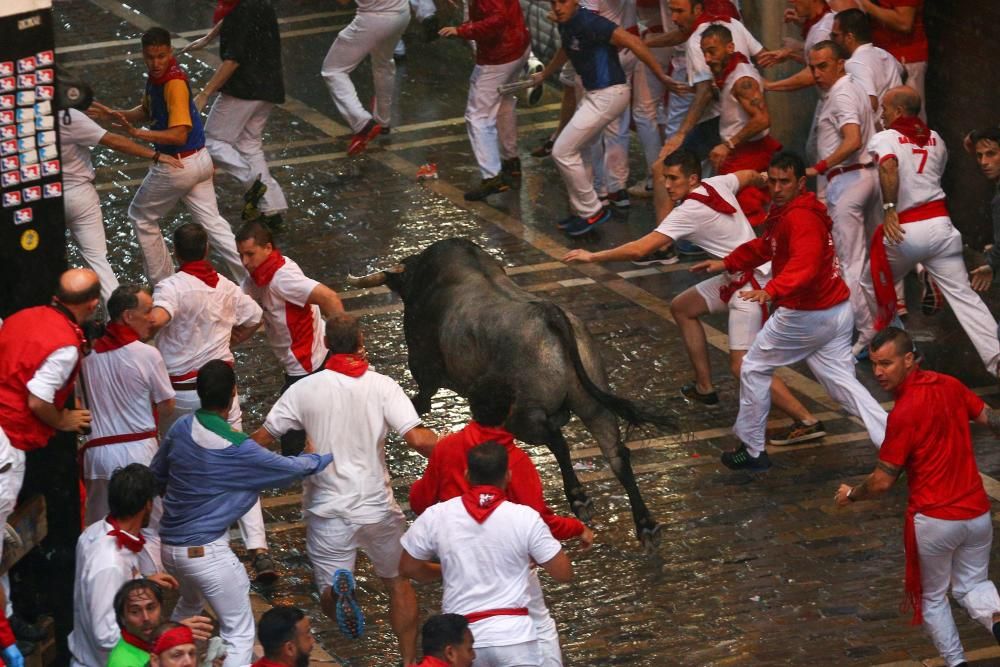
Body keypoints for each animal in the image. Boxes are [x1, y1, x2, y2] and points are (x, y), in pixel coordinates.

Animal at [354, 240, 680, 548]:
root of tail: (550, 315)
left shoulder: (425, 378)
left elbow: (417, 403)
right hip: (591, 404)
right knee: (616, 454)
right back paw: (646, 525)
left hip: (522, 415)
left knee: (558, 441)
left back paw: (579, 497)